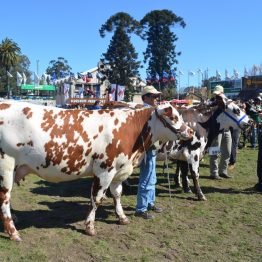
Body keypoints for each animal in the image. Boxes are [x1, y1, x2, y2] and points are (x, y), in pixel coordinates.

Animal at [0, 101, 192, 241]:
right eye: (173, 117)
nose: (190, 131)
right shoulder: (104, 170)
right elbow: (97, 199)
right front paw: (90, 227)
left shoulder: (119, 171)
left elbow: (117, 194)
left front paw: (122, 217)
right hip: (6, 165)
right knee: (4, 197)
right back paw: (13, 232)